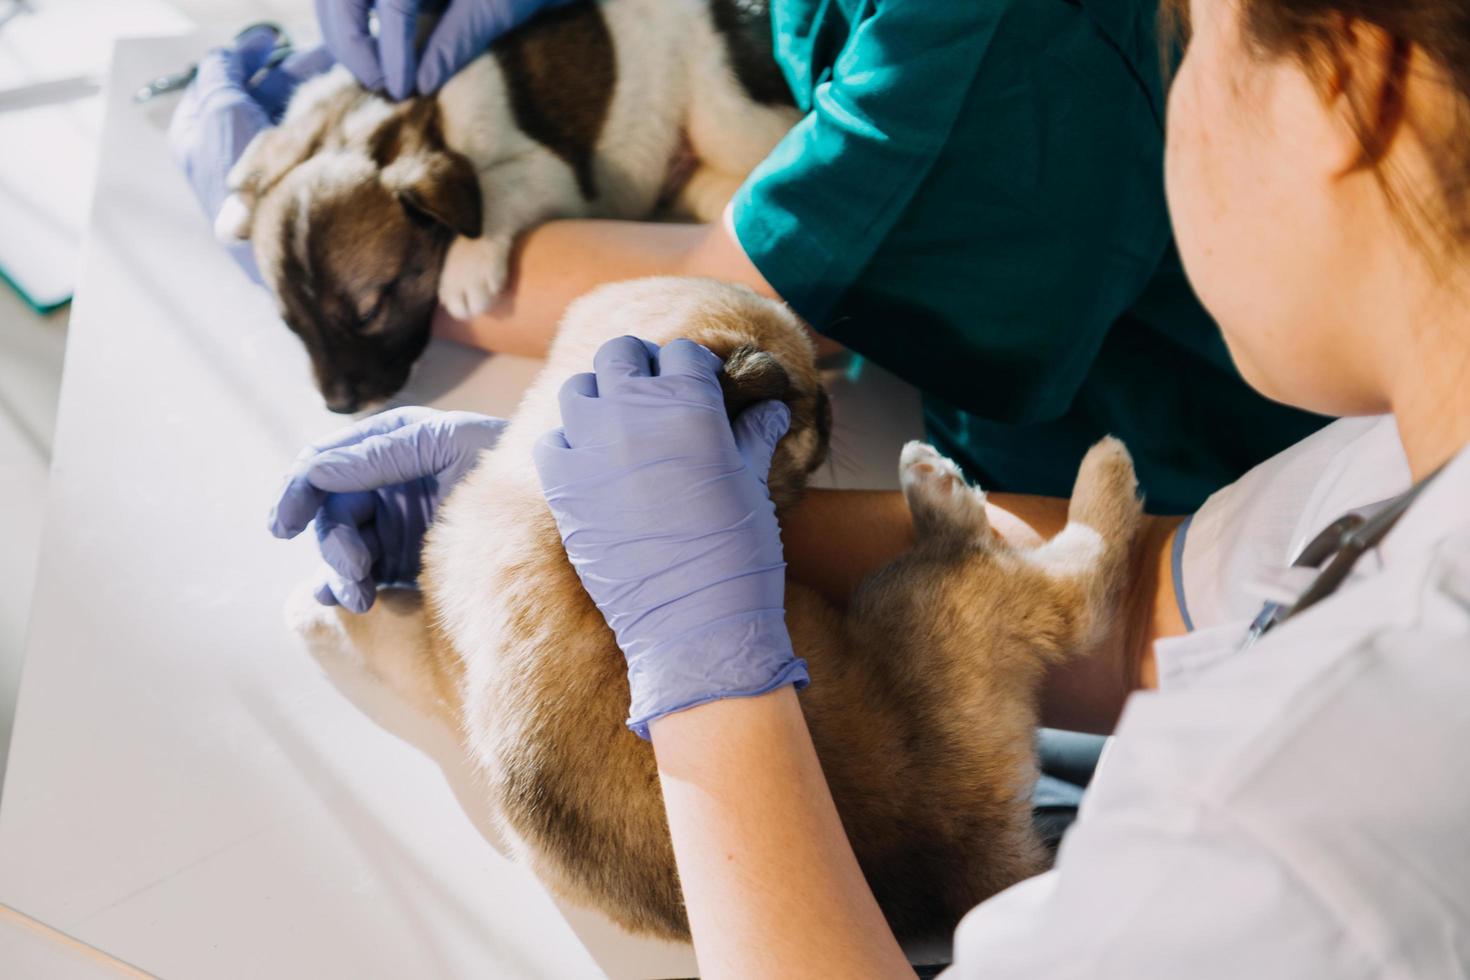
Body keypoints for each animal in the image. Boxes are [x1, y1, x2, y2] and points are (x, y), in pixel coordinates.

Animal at [220, 0, 805, 414]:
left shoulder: (551, 169)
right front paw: (239, 194)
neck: (399, 124)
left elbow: (495, 182)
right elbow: (282, 134)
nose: (339, 408)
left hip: (724, 108)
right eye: (292, 326)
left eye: (368, 312)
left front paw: (467, 264)